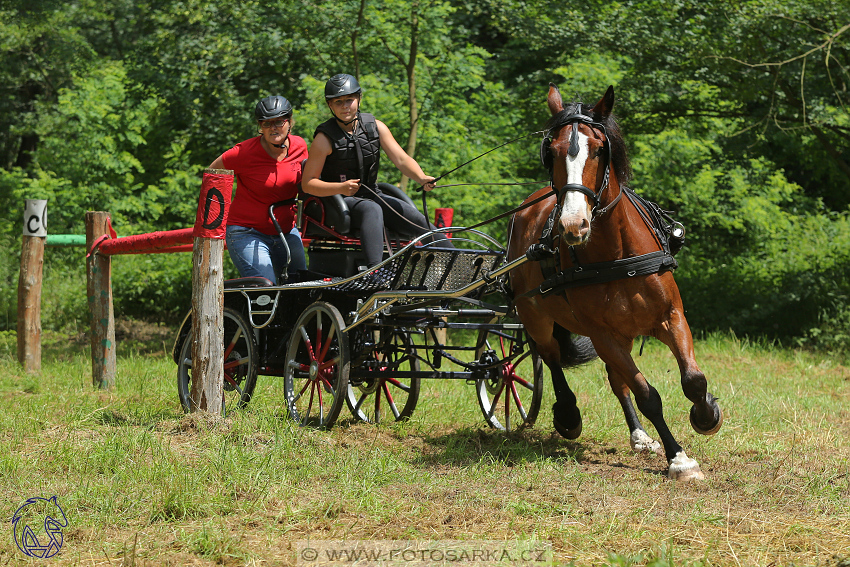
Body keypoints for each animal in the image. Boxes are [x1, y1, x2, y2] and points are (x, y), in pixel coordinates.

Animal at [506, 85, 720, 484]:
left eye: (599, 149)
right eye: (551, 151)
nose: (572, 225)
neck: (616, 252)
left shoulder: (671, 316)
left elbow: (693, 380)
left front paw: (706, 414)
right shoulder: (601, 335)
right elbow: (648, 394)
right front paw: (679, 459)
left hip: (623, 332)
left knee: (614, 379)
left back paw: (640, 436)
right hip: (536, 316)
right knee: (551, 357)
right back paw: (568, 414)